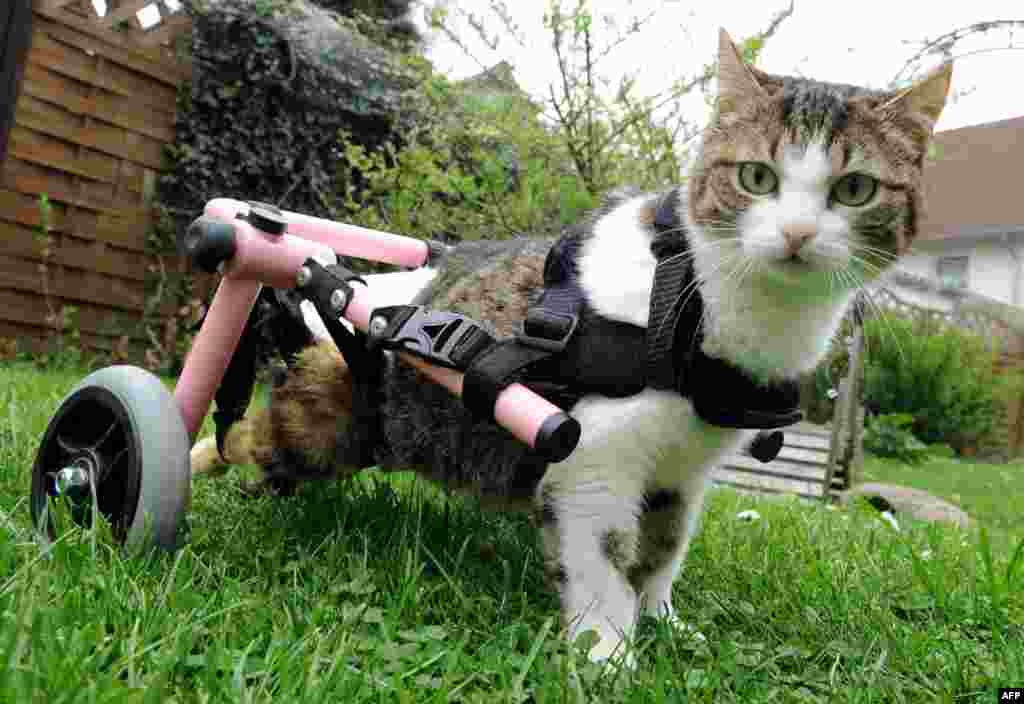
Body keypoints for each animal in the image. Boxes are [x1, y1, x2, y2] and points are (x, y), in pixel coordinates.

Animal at [193, 28, 950, 667]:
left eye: (855, 189)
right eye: (756, 177)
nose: (796, 234)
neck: (702, 306)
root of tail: (342, 287)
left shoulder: (682, 471)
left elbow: (663, 551)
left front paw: (666, 622)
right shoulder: (594, 461)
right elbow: (604, 561)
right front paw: (608, 655)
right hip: (316, 428)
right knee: (240, 436)